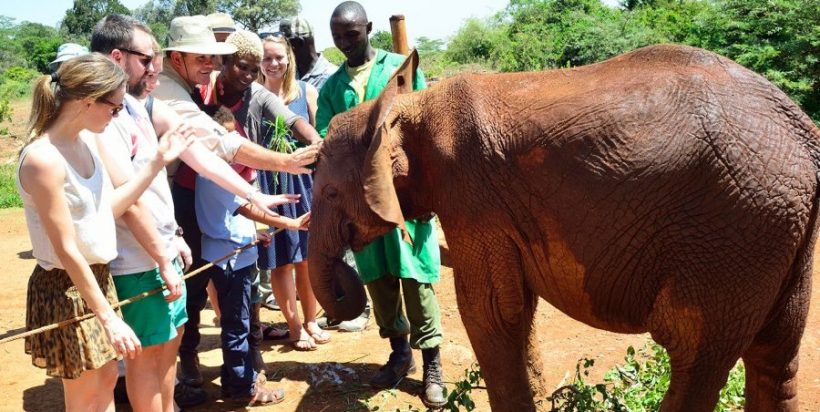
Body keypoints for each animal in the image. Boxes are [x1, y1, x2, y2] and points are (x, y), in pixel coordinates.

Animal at [308, 45, 820, 412]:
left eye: (330, 193)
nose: (340, 300)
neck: (409, 106)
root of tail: (806, 136)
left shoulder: (472, 196)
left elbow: (490, 312)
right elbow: (515, 308)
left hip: (734, 230)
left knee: (693, 354)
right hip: (778, 229)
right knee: (776, 354)